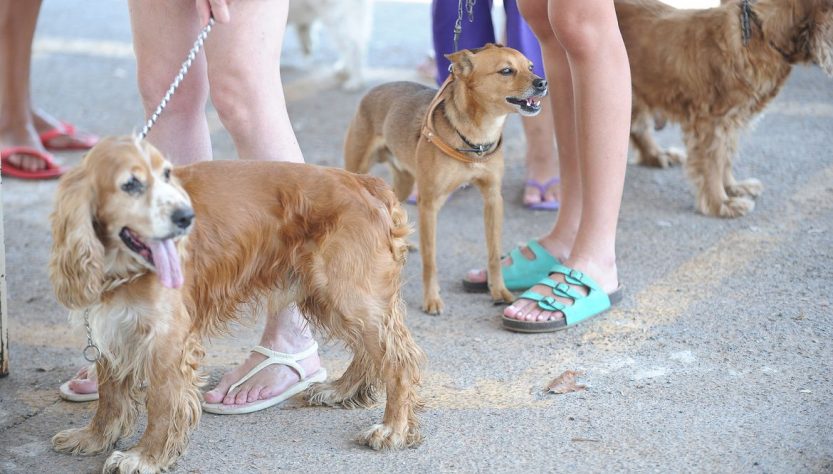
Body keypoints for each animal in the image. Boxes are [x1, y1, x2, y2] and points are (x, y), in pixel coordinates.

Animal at [47, 135, 422, 472]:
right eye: (131, 184)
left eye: (166, 175)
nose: (186, 217)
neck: (122, 265)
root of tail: (365, 182)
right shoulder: (113, 327)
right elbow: (109, 396)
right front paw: (93, 438)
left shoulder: (167, 339)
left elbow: (162, 403)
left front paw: (146, 457)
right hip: (331, 296)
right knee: (370, 351)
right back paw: (341, 390)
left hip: (347, 293)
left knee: (398, 359)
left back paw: (393, 428)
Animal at [342, 43, 544, 314]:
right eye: (506, 71)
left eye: (530, 66)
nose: (542, 82)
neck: (477, 136)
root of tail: (373, 90)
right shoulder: (429, 205)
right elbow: (431, 260)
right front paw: (431, 299)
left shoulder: (492, 198)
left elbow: (493, 253)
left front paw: (498, 290)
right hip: (359, 169)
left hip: (405, 182)